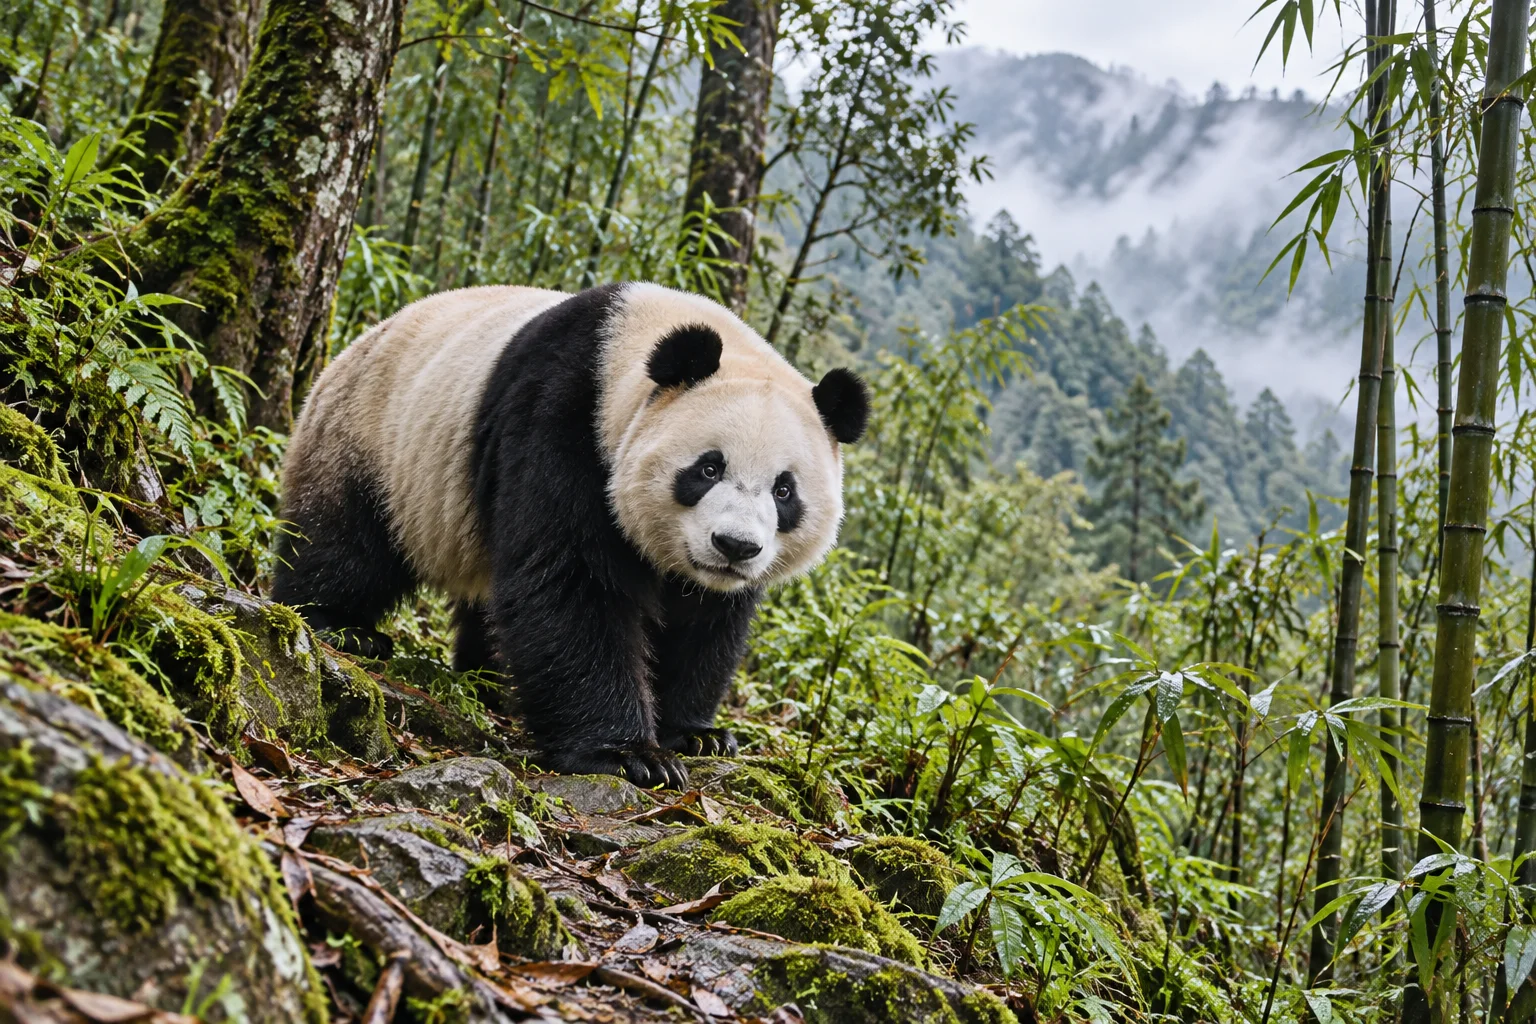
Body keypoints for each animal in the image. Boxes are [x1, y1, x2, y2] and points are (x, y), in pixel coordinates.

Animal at [273, 283, 868, 788]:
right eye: (708, 468)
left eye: (784, 490)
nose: (735, 547)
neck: (625, 348)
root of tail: (348, 348)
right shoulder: (560, 418)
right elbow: (569, 582)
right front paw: (629, 755)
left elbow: (704, 622)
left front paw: (698, 735)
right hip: (372, 442)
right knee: (345, 542)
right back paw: (340, 626)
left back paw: (489, 681)